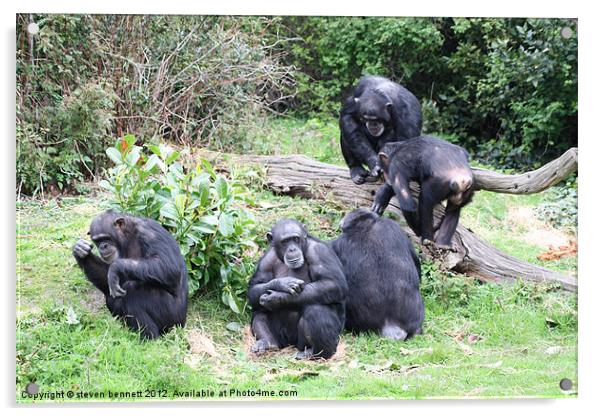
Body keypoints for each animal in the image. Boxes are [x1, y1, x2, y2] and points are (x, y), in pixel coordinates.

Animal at [72, 210, 188, 340]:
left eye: (106, 238)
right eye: (97, 240)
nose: (102, 246)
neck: (127, 236)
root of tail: (183, 321)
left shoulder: (149, 232)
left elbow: (168, 266)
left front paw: (115, 268)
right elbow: (109, 282)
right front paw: (80, 250)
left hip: (172, 316)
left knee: (133, 289)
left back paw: (148, 339)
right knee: (111, 298)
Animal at [245, 219, 346, 360]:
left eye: (295, 239)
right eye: (285, 241)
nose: (292, 249)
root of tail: (290, 343)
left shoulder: (319, 251)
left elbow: (333, 284)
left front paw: (278, 298)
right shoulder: (266, 259)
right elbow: (254, 288)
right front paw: (281, 284)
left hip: (313, 340)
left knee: (316, 311)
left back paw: (315, 353)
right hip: (281, 339)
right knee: (260, 312)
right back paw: (267, 343)